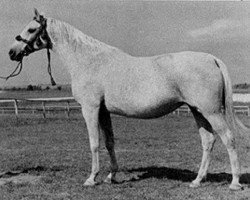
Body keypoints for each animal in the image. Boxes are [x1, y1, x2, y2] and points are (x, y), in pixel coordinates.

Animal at [8, 9, 246, 191]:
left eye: (31, 29)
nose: (12, 52)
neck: (88, 61)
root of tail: (212, 58)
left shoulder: (90, 109)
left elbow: (94, 143)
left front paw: (91, 179)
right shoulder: (103, 111)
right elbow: (109, 142)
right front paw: (111, 176)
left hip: (211, 112)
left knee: (228, 138)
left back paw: (235, 183)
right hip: (197, 111)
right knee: (208, 141)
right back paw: (197, 180)